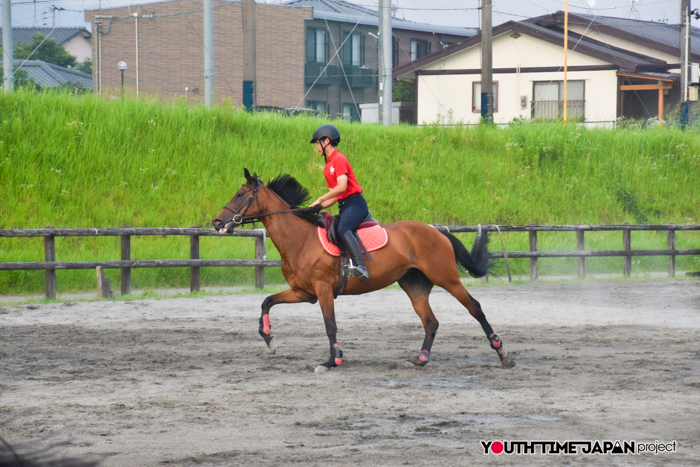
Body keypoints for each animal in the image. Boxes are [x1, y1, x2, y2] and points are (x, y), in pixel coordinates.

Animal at [212, 169, 514, 372]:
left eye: (240, 194)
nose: (217, 222)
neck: (300, 238)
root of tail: (435, 230)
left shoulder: (323, 290)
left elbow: (330, 325)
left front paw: (332, 360)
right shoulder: (302, 292)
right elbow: (266, 301)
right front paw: (269, 340)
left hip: (446, 278)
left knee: (475, 308)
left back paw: (502, 353)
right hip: (414, 286)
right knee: (431, 322)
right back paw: (420, 359)